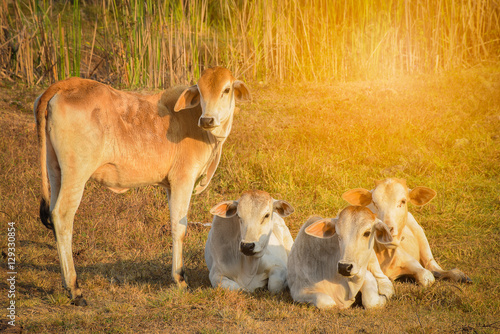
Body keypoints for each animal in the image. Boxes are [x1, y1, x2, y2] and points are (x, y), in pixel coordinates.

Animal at [34, 66, 250, 306]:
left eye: (226, 90)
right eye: (201, 91)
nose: (207, 119)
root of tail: (66, 85)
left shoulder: (170, 186)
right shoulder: (182, 180)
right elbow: (179, 228)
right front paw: (179, 278)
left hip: (55, 171)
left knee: (54, 215)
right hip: (76, 174)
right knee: (62, 216)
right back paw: (74, 288)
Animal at [342, 177, 470, 288]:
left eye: (403, 201)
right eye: (374, 203)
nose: (386, 230)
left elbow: (427, 277)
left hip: (421, 236)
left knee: (433, 266)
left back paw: (459, 275)